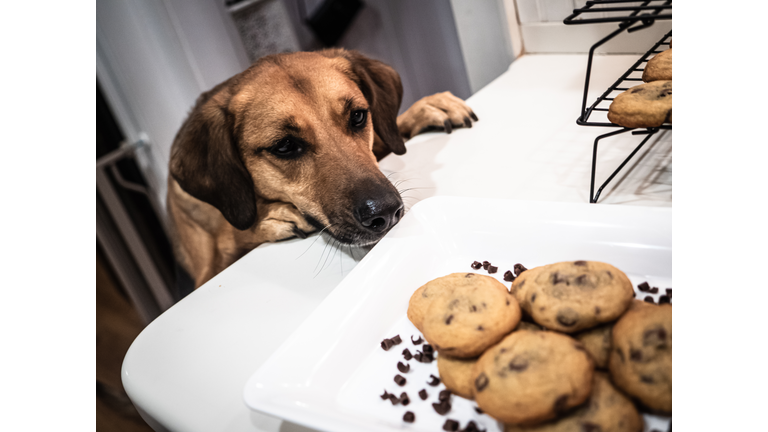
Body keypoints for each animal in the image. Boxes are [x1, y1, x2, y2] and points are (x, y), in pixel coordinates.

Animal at [169, 49, 476, 288]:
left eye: (357, 116)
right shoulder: (207, 268)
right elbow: (231, 235)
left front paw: (425, 108)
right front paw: (269, 218)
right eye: (285, 146)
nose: (386, 213)